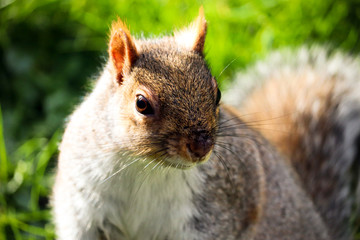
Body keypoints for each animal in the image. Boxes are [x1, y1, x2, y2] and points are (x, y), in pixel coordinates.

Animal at [52, 7, 358, 240]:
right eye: (141, 104)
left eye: (218, 93)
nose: (202, 147)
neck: (145, 168)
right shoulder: (83, 211)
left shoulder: (217, 213)